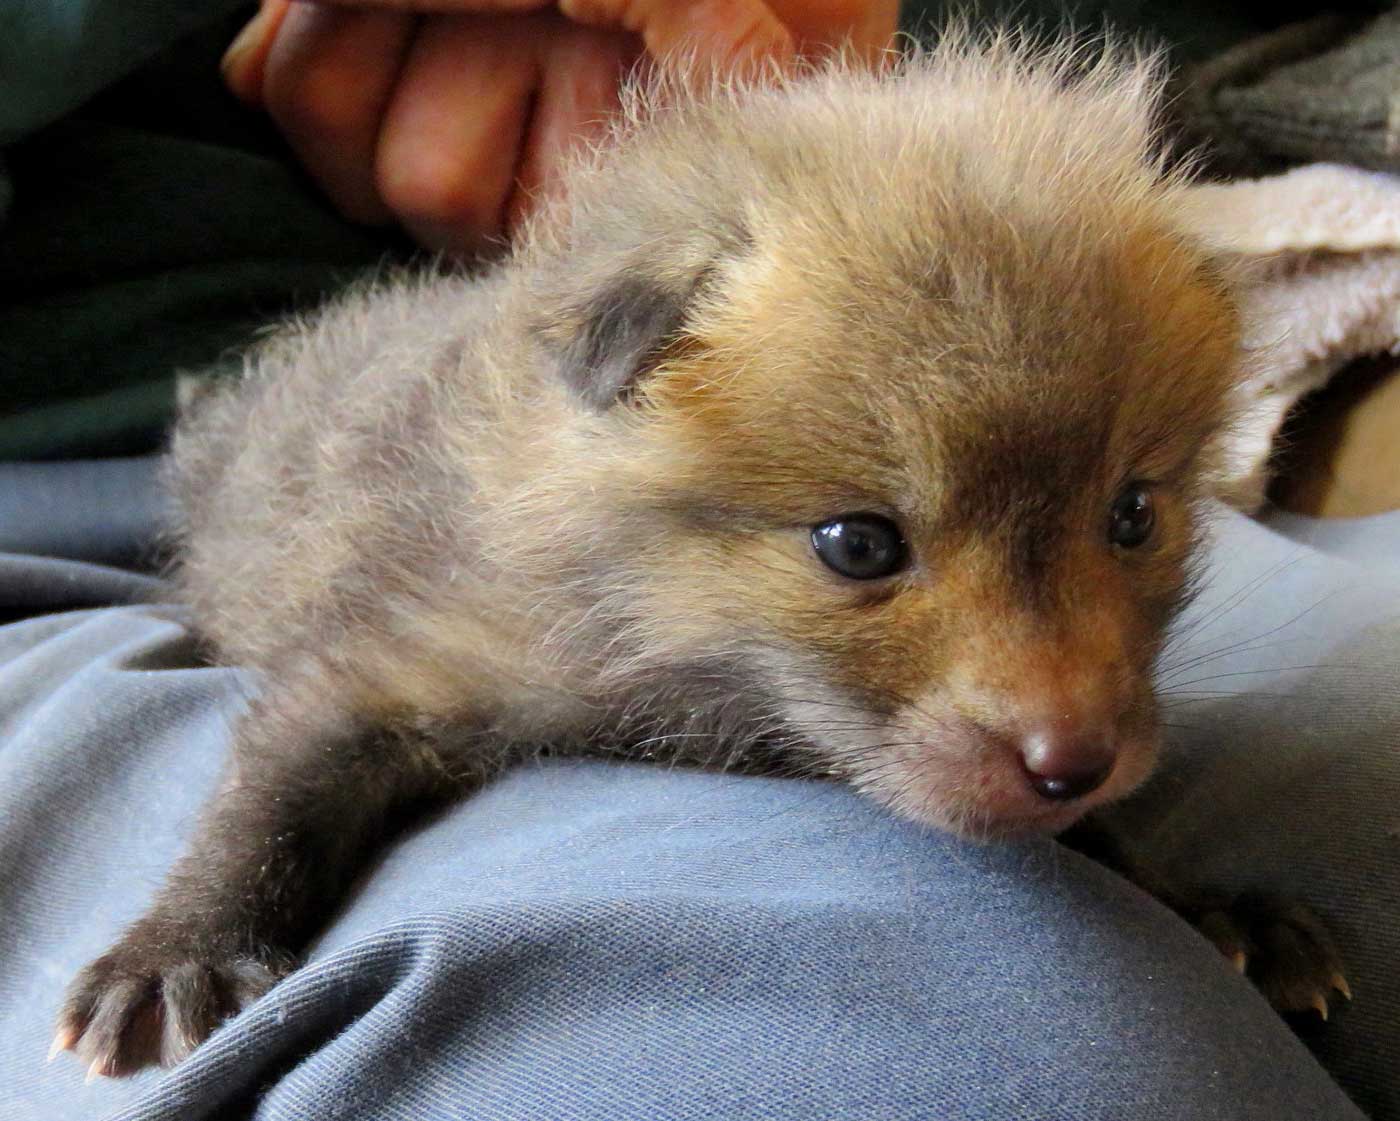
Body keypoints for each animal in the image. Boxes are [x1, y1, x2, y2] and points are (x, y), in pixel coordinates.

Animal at [51, 34, 1344, 1074]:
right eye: (857, 543)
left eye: (1130, 515)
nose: (1071, 760)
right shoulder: (386, 659)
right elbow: (263, 800)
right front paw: (178, 949)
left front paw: (1199, 900)